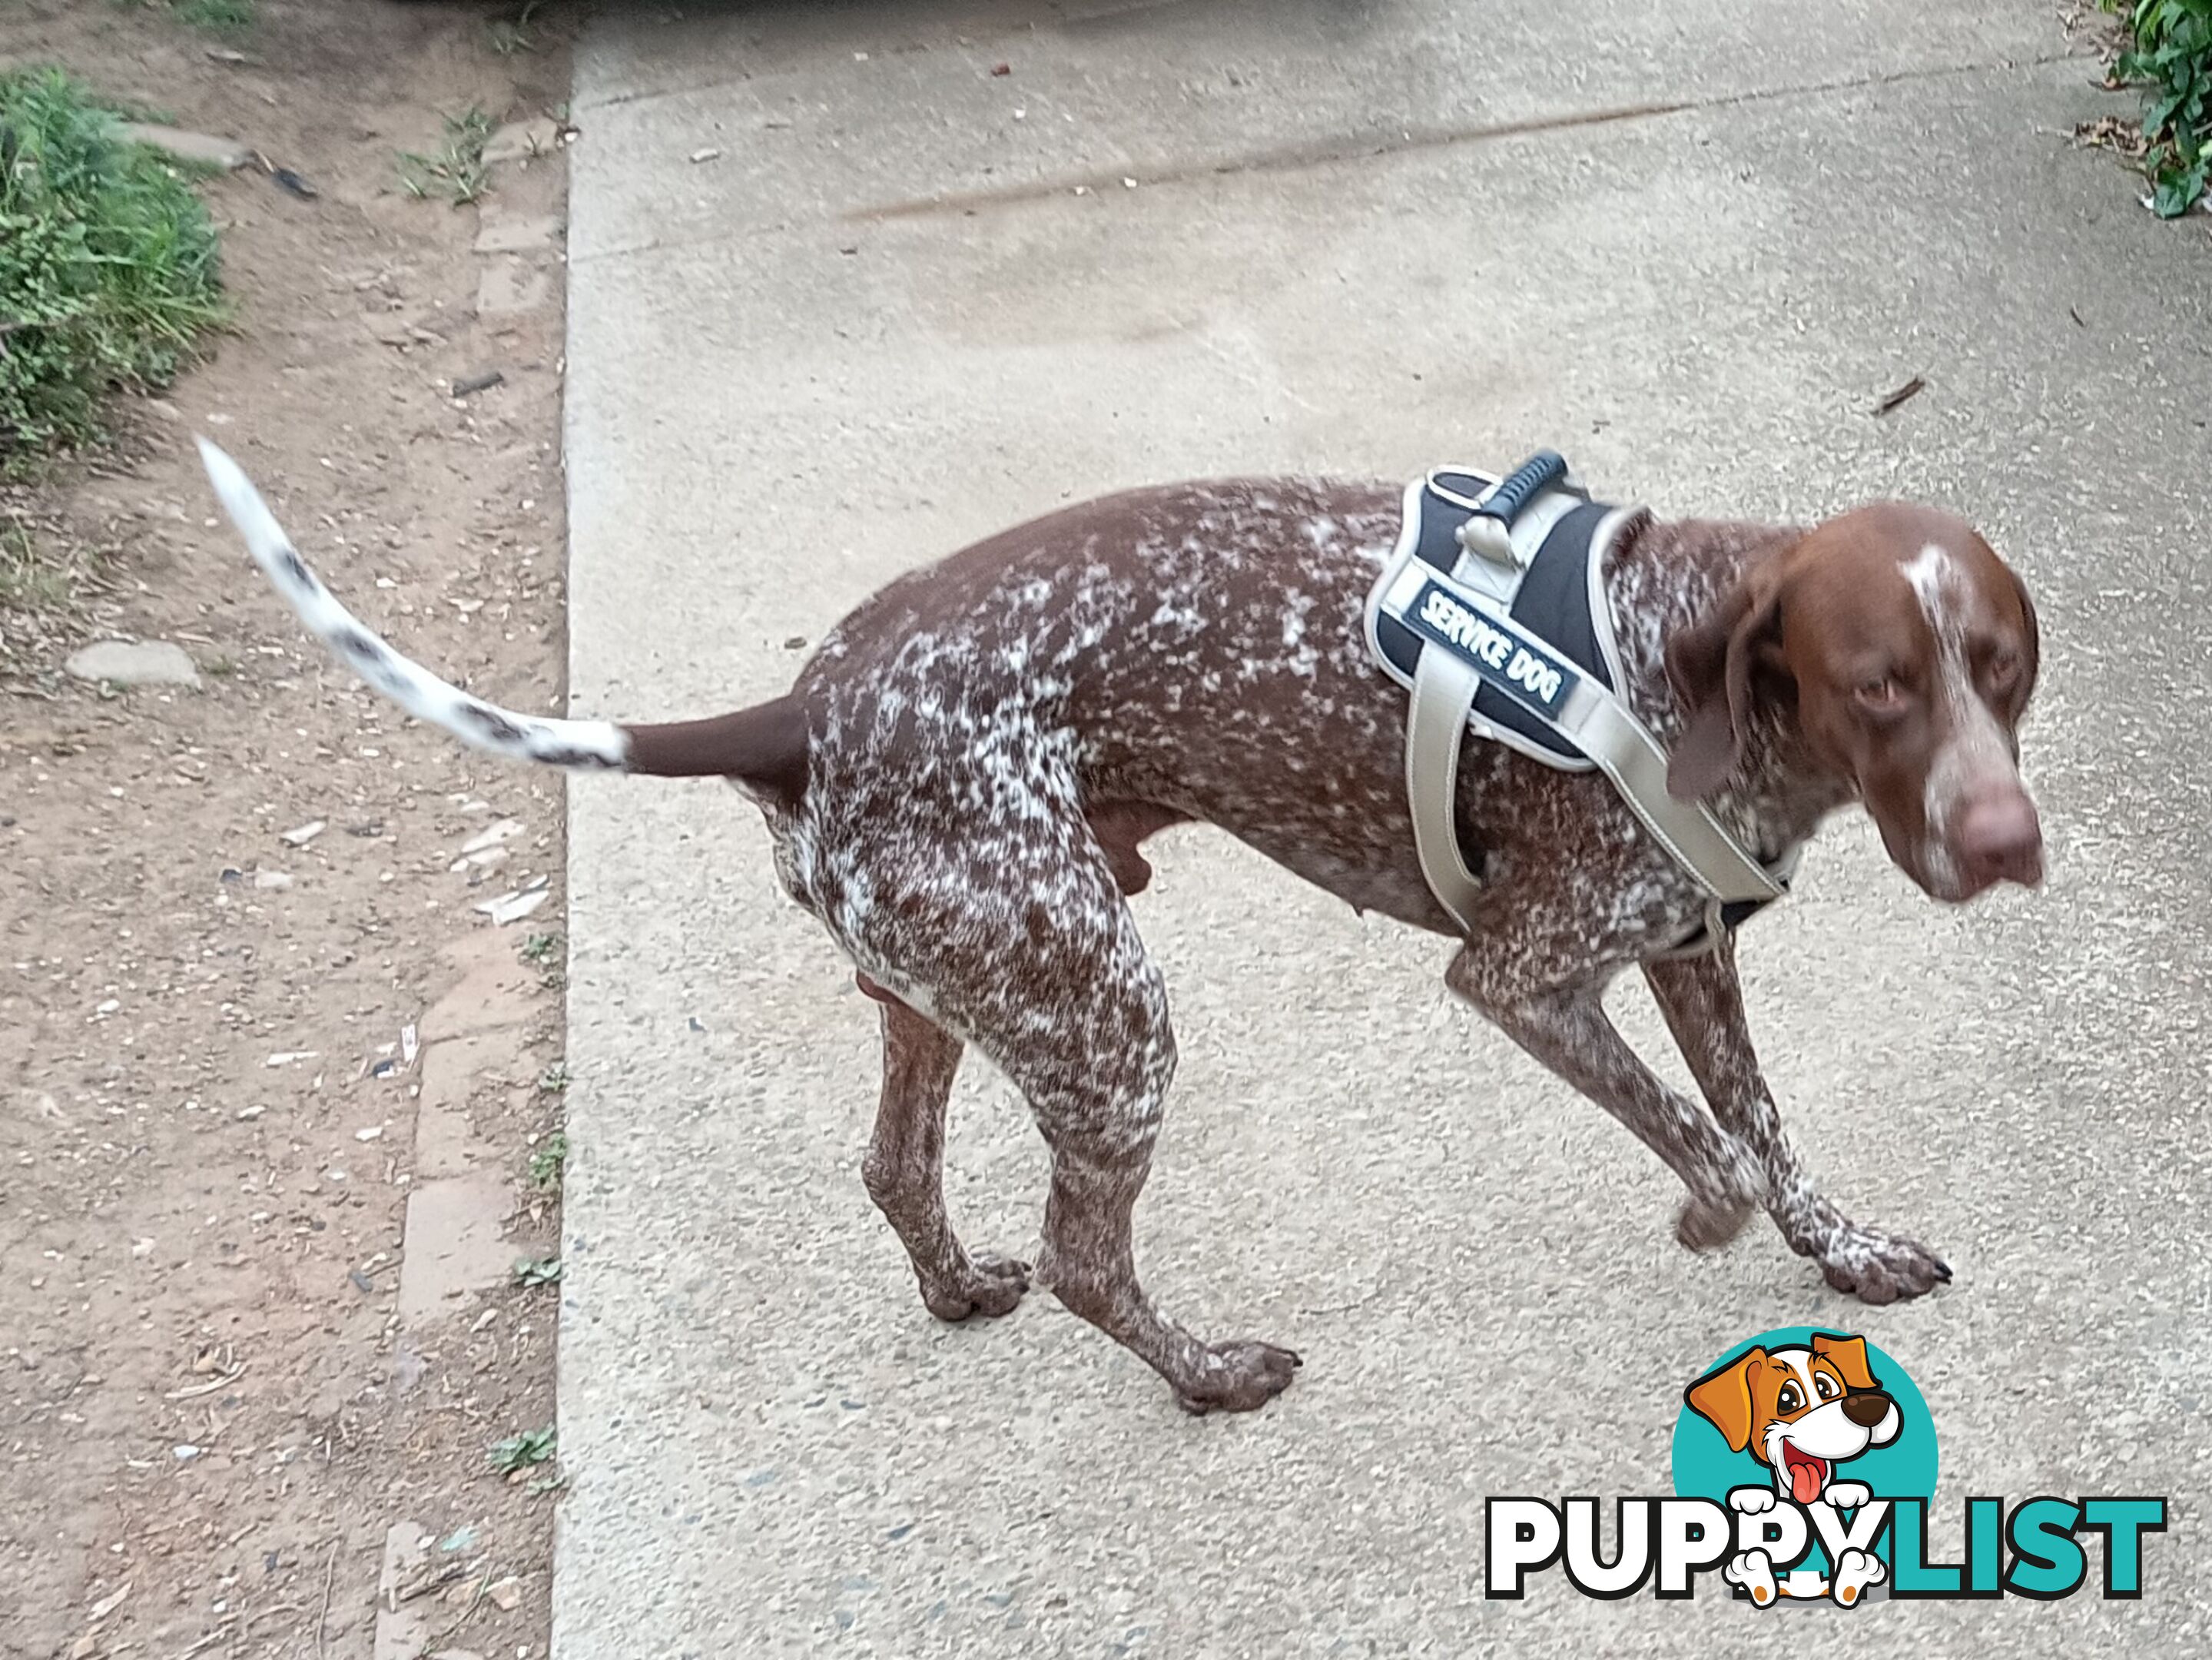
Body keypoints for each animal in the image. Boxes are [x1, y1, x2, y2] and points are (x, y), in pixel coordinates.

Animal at [199, 438, 2044, 1416]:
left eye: (2001, 667)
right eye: (1878, 685)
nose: (2006, 842)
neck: (1673, 654)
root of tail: (803, 706)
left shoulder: (1685, 950)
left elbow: (1763, 1127)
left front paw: (1844, 1251)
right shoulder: (1519, 975)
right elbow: (1708, 1149)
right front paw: (1705, 1226)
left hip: (962, 985)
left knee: (897, 1168)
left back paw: (960, 1289)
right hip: (1108, 1021)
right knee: (1092, 1260)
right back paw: (1206, 1373)